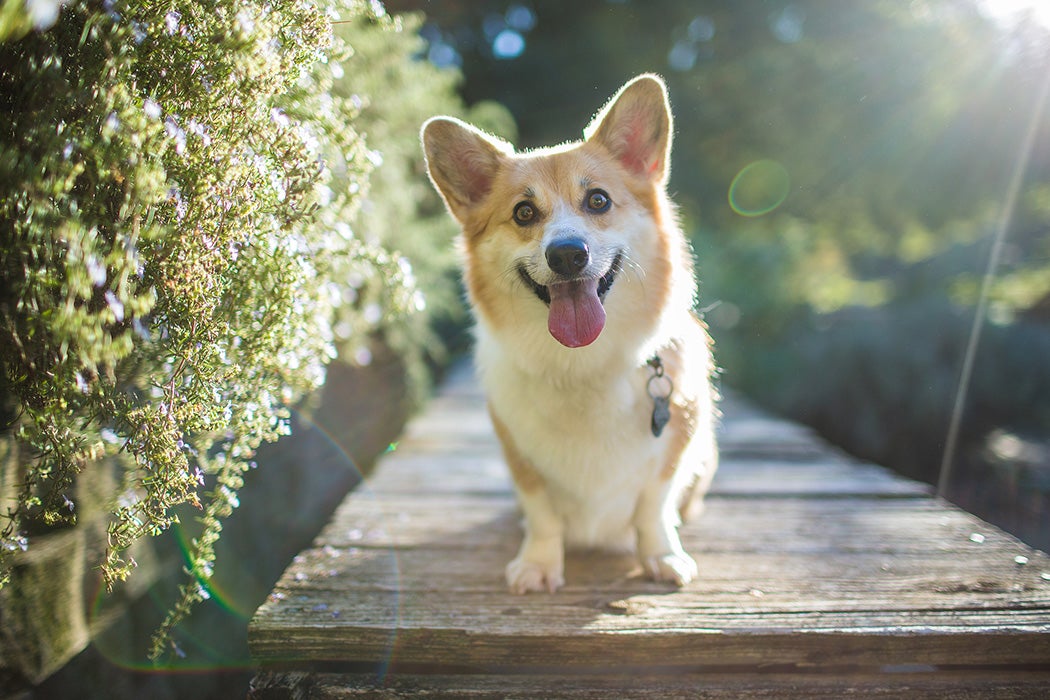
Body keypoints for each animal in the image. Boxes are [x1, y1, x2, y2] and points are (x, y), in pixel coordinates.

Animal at [422, 73, 718, 596]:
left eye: (598, 200)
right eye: (523, 213)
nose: (566, 254)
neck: (582, 361)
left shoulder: (677, 443)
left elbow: (654, 506)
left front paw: (662, 556)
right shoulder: (519, 456)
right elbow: (542, 514)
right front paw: (538, 564)